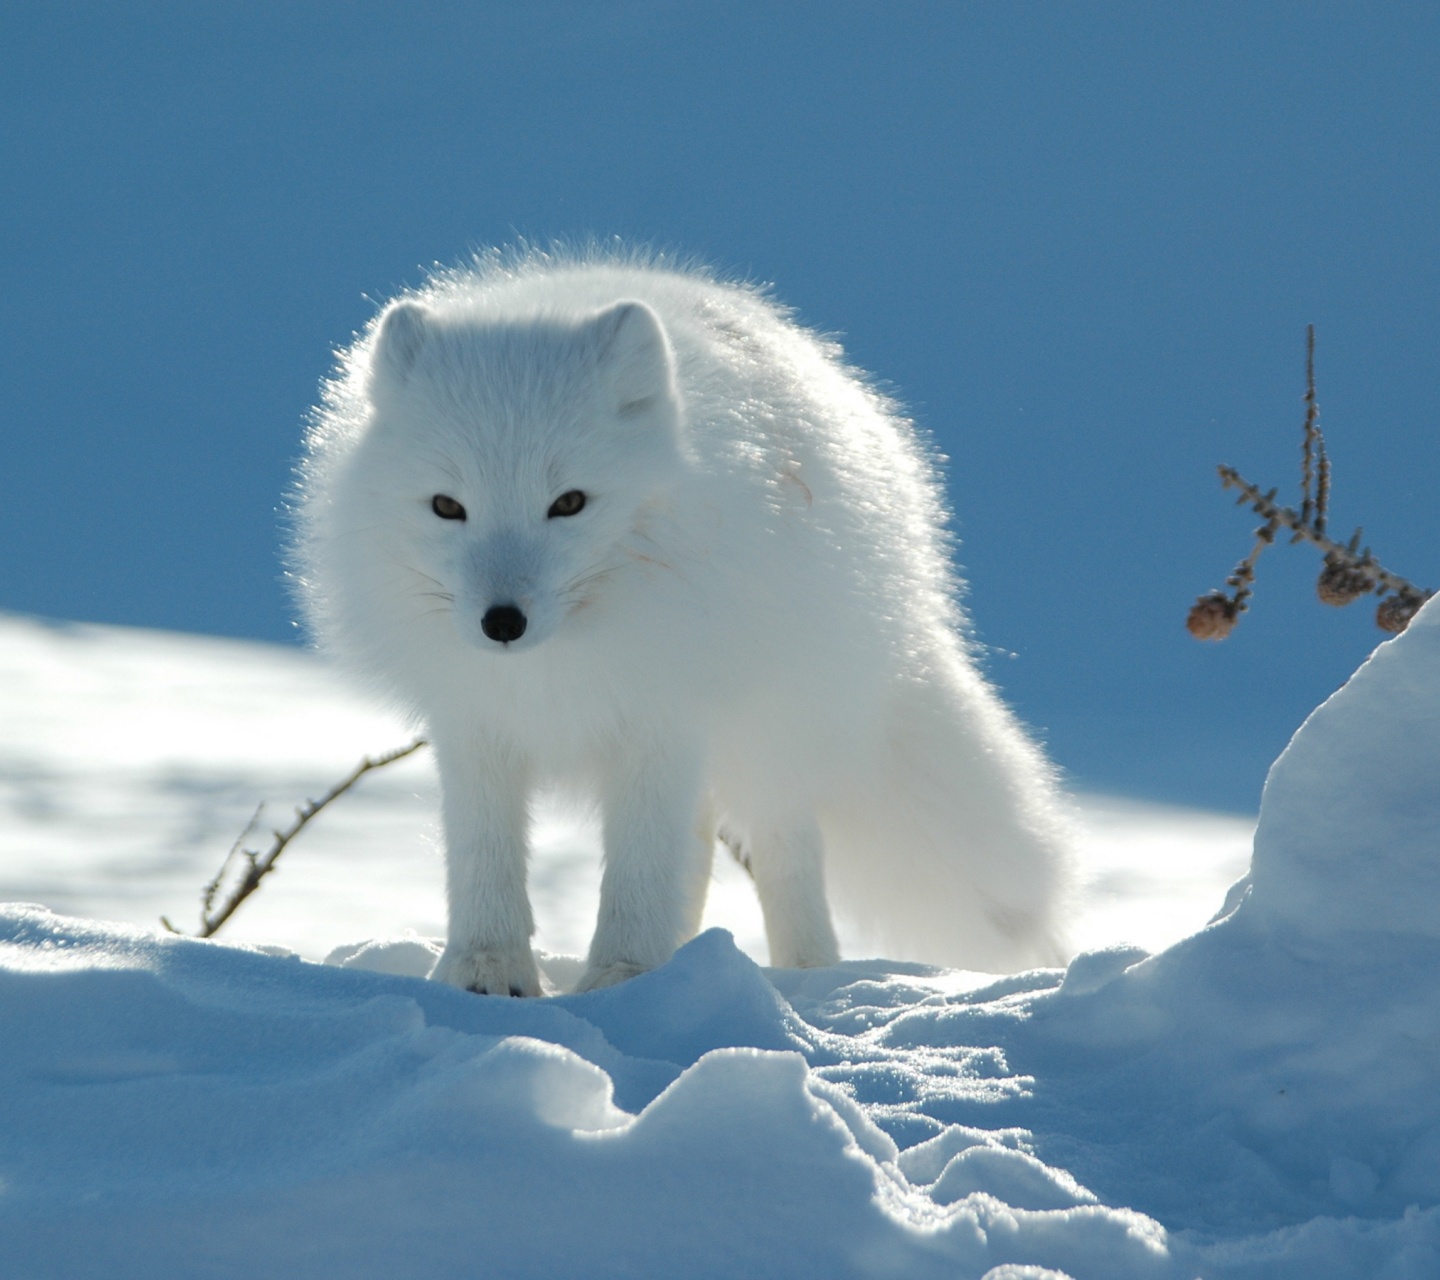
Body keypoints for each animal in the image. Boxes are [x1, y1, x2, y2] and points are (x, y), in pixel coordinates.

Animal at [295, 244, 1071, 996]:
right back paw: (688, 959)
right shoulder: (474, 722)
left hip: (771, 733)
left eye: (569, 503)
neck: (558, 665)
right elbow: (484, 855)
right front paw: (485, 970)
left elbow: (641, 869)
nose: (502, 623)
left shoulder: (662, 716)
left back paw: (805, 976)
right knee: (696, 852)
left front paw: (622, 978)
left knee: (784, 852)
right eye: (446, 507)